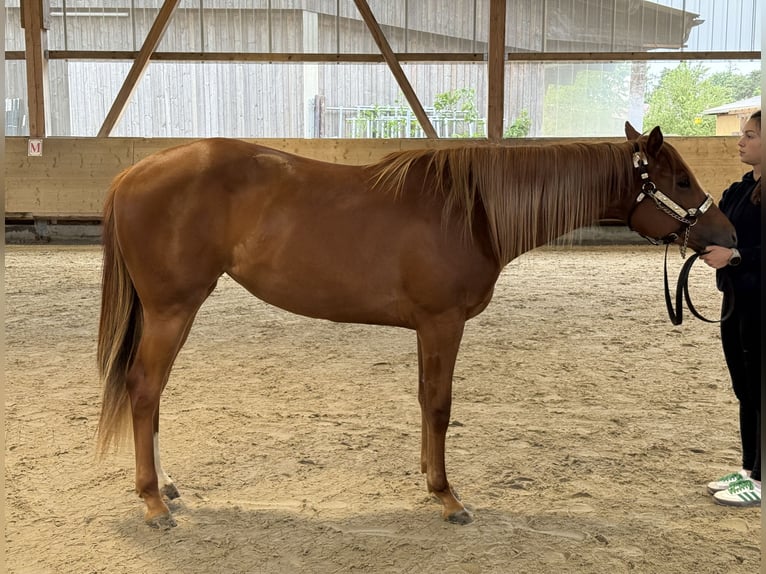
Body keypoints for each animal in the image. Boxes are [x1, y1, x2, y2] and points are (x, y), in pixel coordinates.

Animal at [97, 122, 736, 528]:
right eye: (681, 181)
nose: (727, 236)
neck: (473, 212)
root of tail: (129, 176)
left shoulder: (431, 330)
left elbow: (426, 401)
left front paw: (430, 477)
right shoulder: (442, 324)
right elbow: (439, 403)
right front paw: (447, 496)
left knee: (153, 393)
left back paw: (167, 485)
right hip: (173, 308)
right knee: (144, 390)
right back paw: (153, 503)